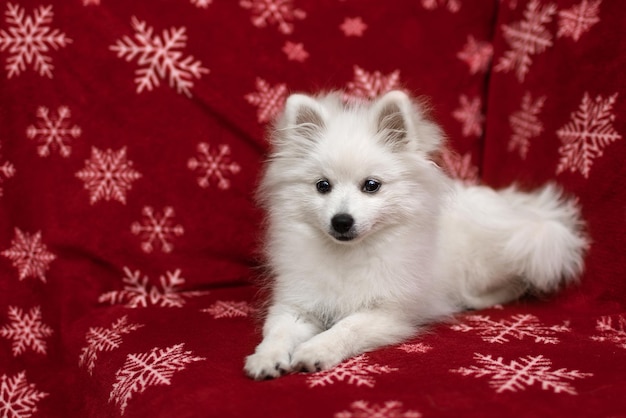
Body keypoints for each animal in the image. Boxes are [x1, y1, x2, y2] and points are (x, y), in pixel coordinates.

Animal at [243, 90, 584, 380]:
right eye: (322, 186)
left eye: (371, 185)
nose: (341, 221)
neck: (350, 254)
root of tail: (524, 210)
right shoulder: (296, 305)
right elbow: (277, 331)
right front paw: (266, 358)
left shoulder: (389, 313)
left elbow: (346, 327)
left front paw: (316, 349)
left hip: (500, 256)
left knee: (515, 282)